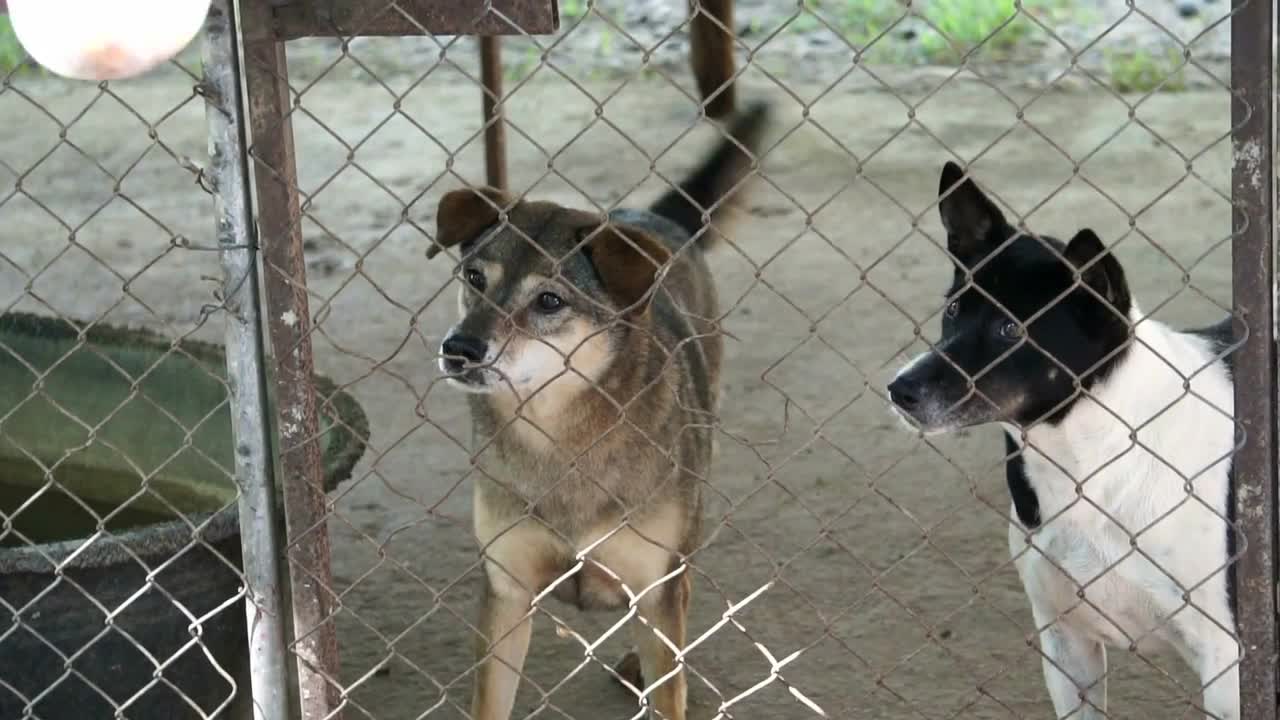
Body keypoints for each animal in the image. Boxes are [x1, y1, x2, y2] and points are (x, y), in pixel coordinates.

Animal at [430, 102, 768, 717]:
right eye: (474, 278)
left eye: (549, 301)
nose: (458, 349)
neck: (556, 436)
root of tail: (648, 216)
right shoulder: (506, 592)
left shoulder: (655, 586)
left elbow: (668, 686)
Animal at [885, 162, 1233, 717]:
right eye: (954, 310)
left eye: (1011, 330)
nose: (899, 389)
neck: (1092, 461)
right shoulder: (1067, 645)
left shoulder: (1225, 661)